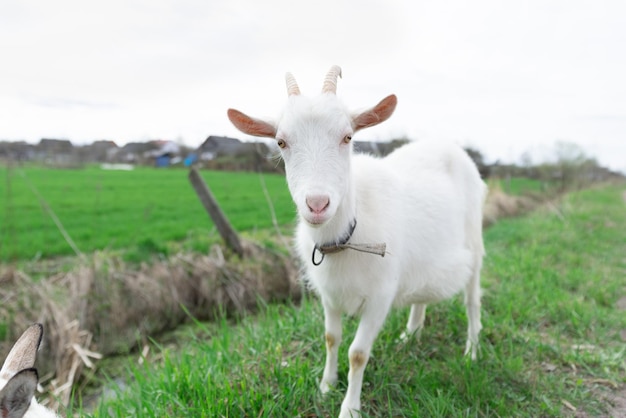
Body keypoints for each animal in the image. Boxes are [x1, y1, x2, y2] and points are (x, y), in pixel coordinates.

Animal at [227, 66, 486, 418]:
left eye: (347, 137)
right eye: (281, 141)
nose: (317, 204)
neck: (346, 235)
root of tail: (448, 147)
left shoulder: (380, 296)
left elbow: (358, 353)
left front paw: (349, 408)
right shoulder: (329, 294)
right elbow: (331, 338)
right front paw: (326, 386)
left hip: (474, 245)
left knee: (472, 301)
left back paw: (471, 351)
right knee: (422, 295)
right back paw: (411, 334)